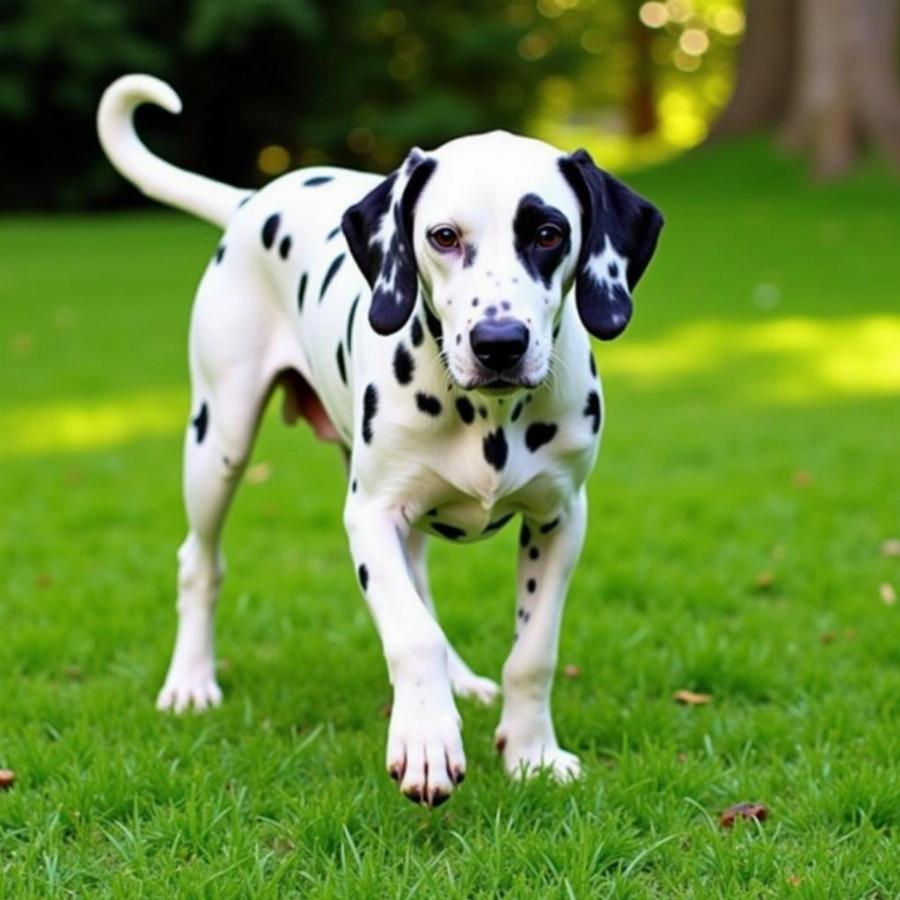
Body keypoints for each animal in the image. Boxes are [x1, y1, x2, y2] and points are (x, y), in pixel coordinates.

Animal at [98, 75, 660, 808]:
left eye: (548, 233)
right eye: (443, 236)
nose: (499, 343)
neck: (488, 415)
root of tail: (254, 200)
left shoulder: (560, 517)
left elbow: (532, 652)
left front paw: (531, 751)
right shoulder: (369, 514)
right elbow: (412, 634)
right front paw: (425, 738)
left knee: (420, 581)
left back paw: (461, 683)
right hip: (218, 442)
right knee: (201, 561)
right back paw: (191, 681)